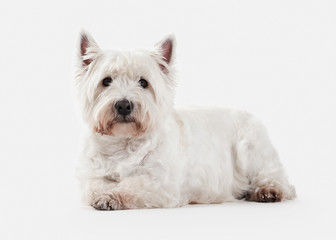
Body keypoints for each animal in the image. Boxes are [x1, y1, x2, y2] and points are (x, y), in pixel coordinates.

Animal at [75, 30, 296, 210]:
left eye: (143, 82)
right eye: (106, 81)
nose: (123, 105)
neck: (123, 142)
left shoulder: (162, 184)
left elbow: (132, 185)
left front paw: (111, 196)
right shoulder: (92, 176)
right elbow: (95, 187)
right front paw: (104, 193)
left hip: (250, 149)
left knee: (280, 180)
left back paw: (267, 191)